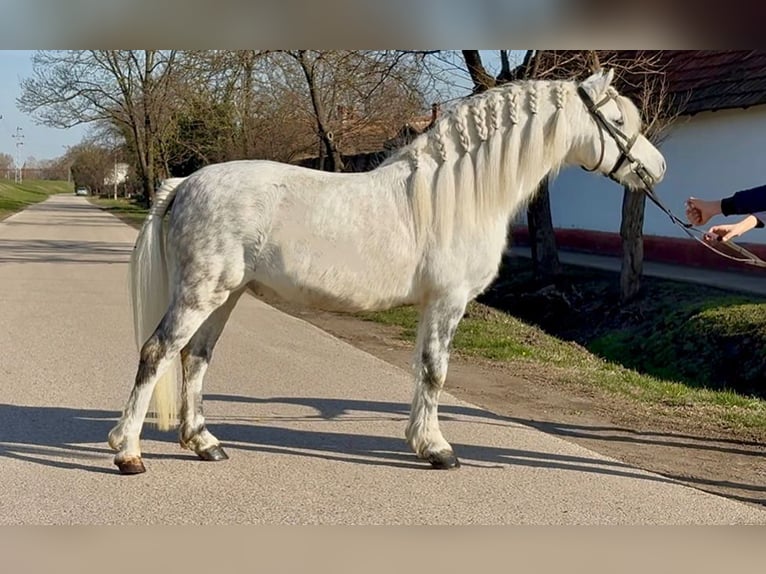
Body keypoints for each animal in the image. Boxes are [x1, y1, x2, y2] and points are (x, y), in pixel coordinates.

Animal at [107, 69, 666, 474]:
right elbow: (436, 371)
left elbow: (424, 370)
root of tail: (183, 183)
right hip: (201, 292)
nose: (657, 168)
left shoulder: (432, 306)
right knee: (157, 352)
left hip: (227, 295)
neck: (460, 195)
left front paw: (422, 442)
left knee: (196, 358)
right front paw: (438, 450)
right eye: (618, 120)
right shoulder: (447, 302)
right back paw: (128, 452)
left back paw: (205, 443)